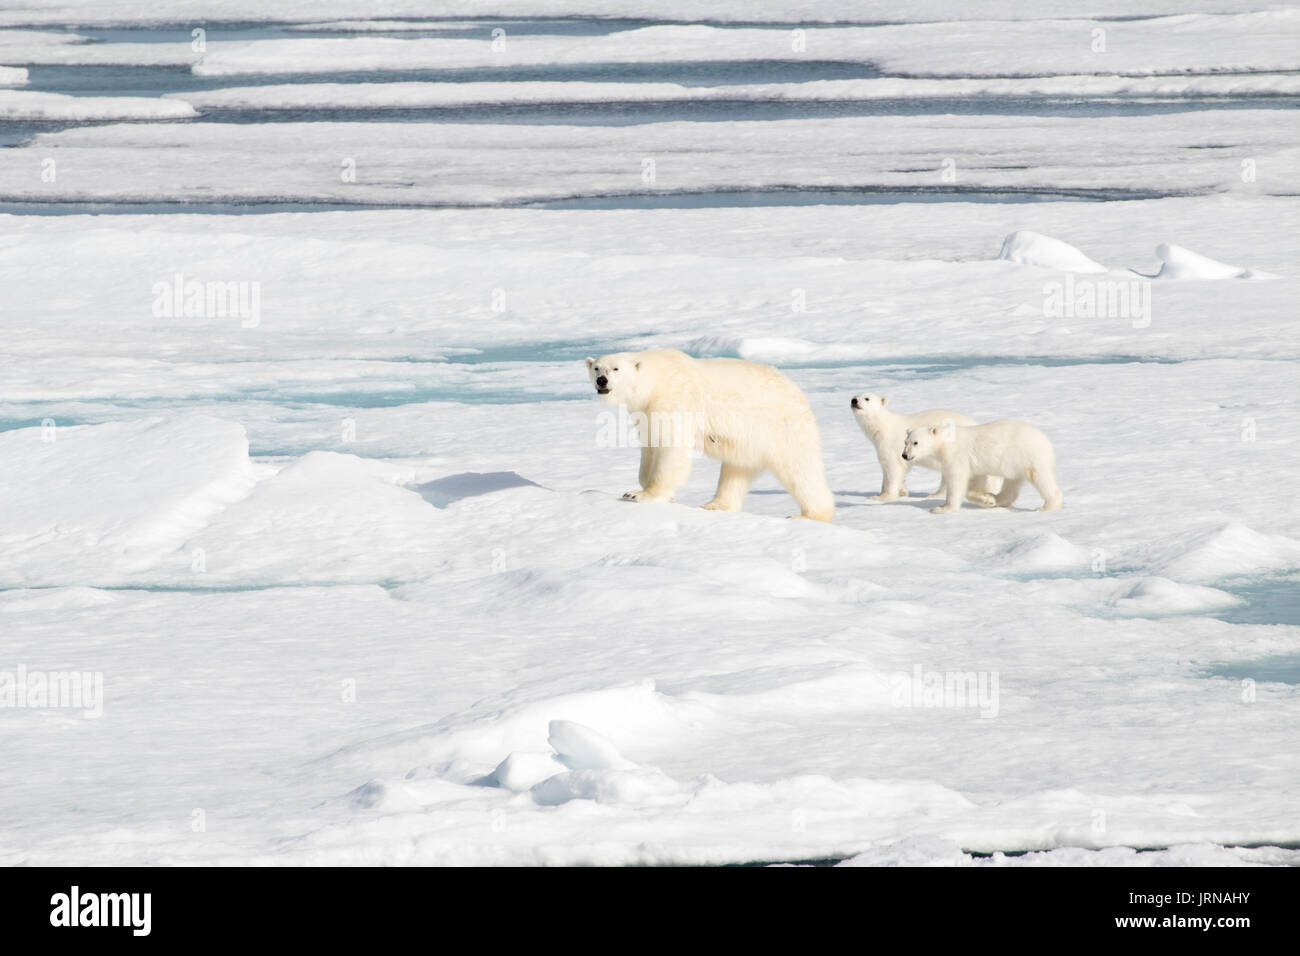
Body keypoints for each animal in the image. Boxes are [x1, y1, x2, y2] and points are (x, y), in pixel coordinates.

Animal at [587, 348, 832, 520]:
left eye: (616, 369)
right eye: (597, 368)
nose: (602, 381)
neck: (657, 379)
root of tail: (799, 394)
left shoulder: (674, 398)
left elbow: (672, 447)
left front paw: (641, 494)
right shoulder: (645, 411)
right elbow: (650, 446)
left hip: (783, 427)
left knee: (801, 470)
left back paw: (811, 515)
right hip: (749, 441)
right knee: (735, 471)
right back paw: (715, 505)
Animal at [847, 392, 998, 504]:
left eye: (867, 398)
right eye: (855, 395)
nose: (854, 400)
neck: (882, 427)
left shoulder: (891, 444)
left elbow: (893, 468)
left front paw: (881, 496)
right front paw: (901, 491)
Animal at [904, 421, 1066, 515]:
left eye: (916, 442)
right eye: (905, 442)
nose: (904, 455)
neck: (946, 442)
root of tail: (1046, 441)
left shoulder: (957, 457)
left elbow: (957, 480)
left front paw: (942, 508)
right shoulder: (974, 464)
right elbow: (976, 479)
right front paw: (987, 499)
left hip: (1028, 456)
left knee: (1041, 479)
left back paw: (1047, 506)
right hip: (1015, 463)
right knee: (1012, 484)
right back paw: (997, 498)